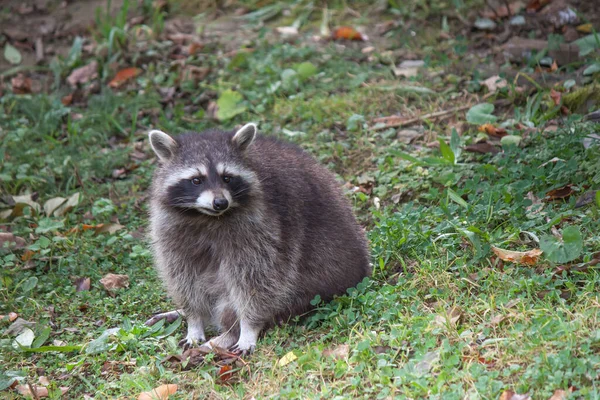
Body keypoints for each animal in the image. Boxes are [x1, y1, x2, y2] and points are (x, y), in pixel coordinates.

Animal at [147, 123, 370, 354]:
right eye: (196, 180)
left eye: (227, 177)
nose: (220, 202)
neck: (207, 217)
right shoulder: (171, 229)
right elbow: (183, 276)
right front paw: (194, 319)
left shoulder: (263, 227)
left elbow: (257, 281)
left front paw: (247, 328)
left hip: (315, 285)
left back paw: (228, 333)